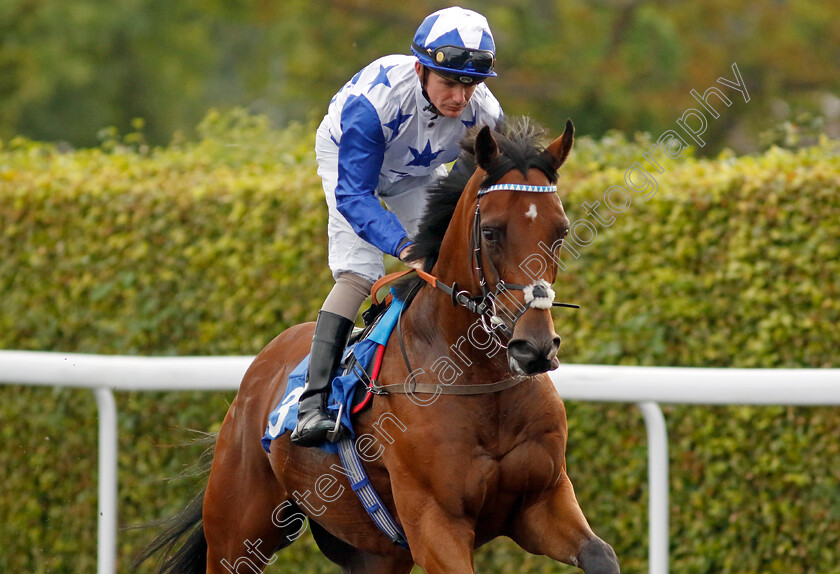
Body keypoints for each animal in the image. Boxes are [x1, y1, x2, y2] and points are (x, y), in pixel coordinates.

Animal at [141, 118, 620, 574]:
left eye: (561, 230)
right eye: (492, 232)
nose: (534, 347)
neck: (478, 383)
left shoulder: (543, 499)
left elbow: (602, 555)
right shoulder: (435, 522)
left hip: (374, 554)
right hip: (237, 532)